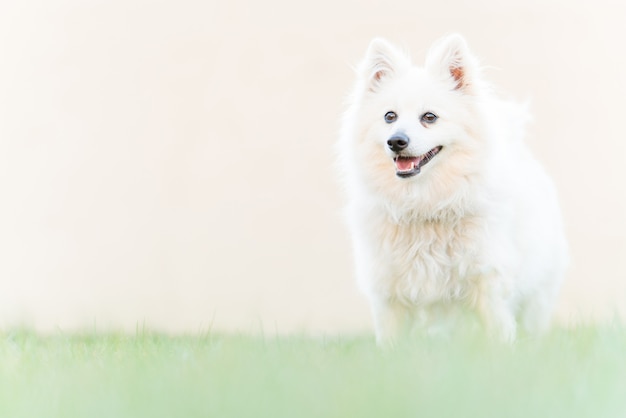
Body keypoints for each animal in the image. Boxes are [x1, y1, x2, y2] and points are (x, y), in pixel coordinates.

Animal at [336, 34, 564, 344]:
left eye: (429, 117)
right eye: (389, 116)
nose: (396, 141)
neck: (425, 204)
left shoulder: (488, 281)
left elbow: (498, 332)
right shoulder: (387, 293)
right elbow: (390, 341)